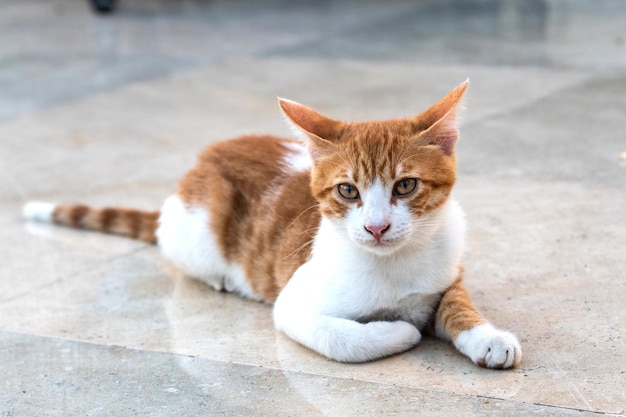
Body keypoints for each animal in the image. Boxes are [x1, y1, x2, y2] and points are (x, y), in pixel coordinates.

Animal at [23, 80, 520, 368]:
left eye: (406, 186)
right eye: (348, 191)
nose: (376, 228)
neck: (395, 264)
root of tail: (202, 159)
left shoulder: (446, 270)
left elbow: (456, 302)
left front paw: (487, 336)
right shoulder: (295, 304)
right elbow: (343, 338)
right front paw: (400, 330)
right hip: (196, 232)